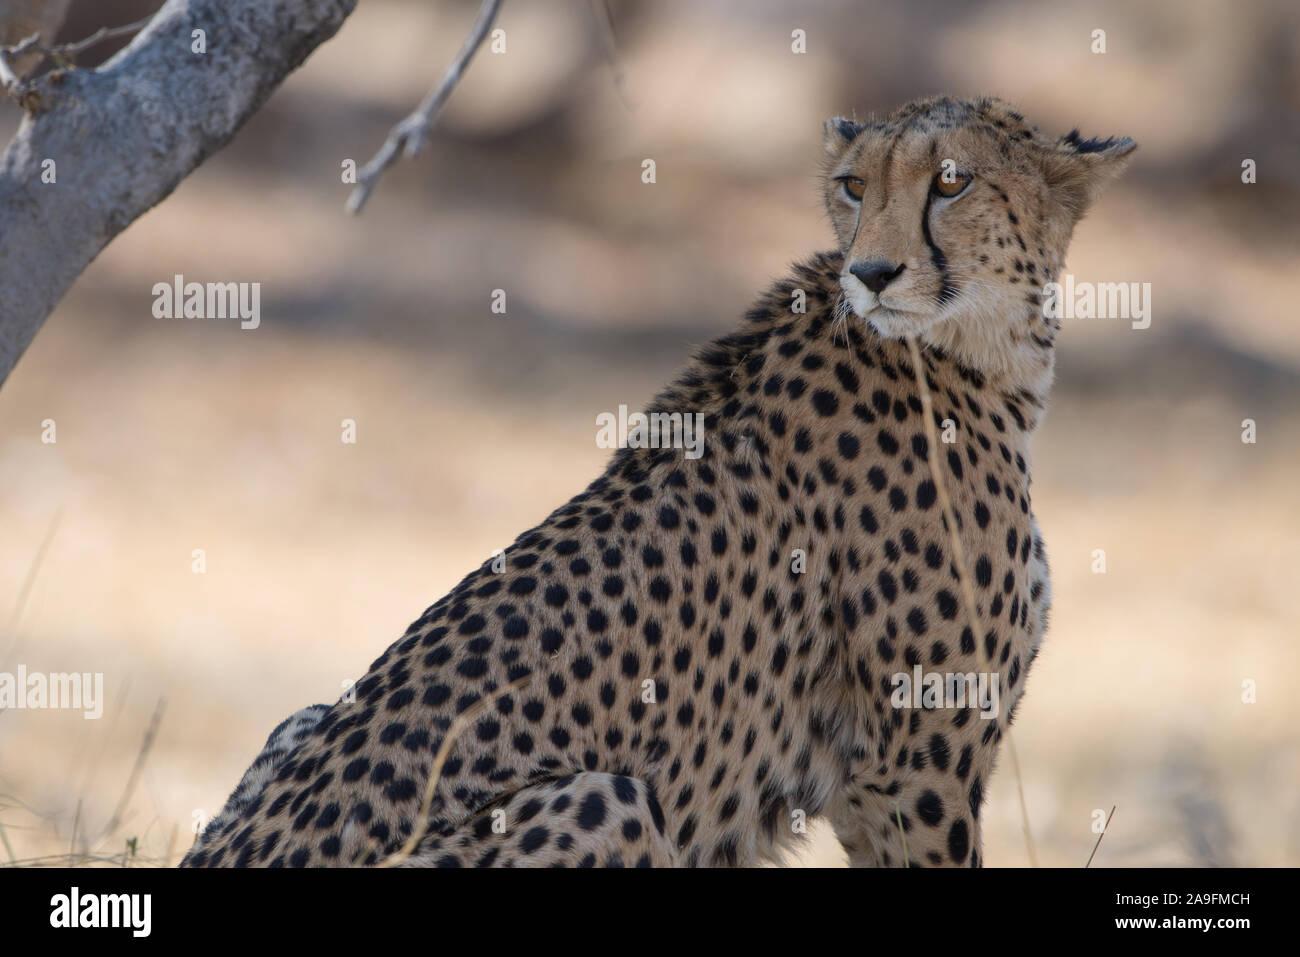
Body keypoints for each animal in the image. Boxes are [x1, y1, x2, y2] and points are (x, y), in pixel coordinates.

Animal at [185, 95, 1138, 868]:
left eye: (951, 181)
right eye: (853, 187)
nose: (870, 273)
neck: (976, 351)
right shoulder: (911, 765)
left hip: (302, 715)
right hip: (606, 795)